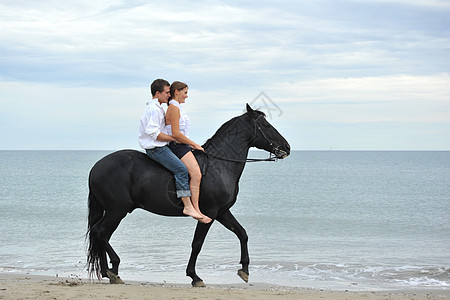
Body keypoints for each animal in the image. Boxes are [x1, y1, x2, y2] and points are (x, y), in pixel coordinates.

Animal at [87, 104, 292, 288]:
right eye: (266, 125)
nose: (287, 147)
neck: (219, 165)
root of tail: (97, 167)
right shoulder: (209, 212)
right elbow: (197, 244)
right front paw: (194, 276)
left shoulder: (222, 212)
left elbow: (242, 234)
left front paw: (245, 270)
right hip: (117, 210)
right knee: (100, 232)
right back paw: (113, 269)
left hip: (114, 211)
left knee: (101, 234)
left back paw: (109, 272)